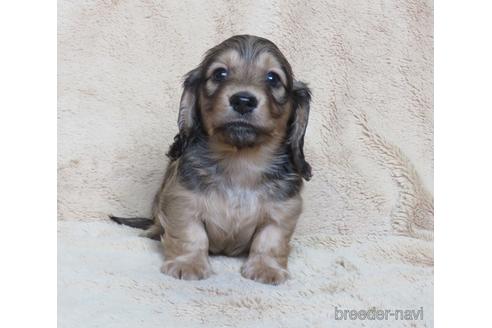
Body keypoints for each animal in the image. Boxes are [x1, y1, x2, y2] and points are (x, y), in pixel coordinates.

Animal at [112, 34, 312, 284]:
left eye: (273, 77)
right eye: (219, 73)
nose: (243, 100)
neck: (240, 162)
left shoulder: (283, 211)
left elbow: (270, 241)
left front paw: (266, 268)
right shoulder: (181, 201)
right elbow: (192, 235)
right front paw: (188, 264)